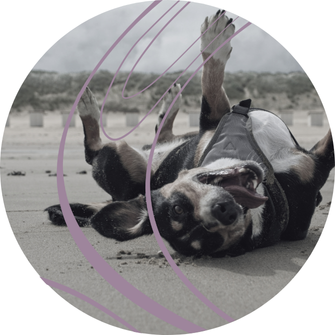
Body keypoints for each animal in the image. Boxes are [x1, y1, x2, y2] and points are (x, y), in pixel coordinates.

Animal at [46, 10, 334, 258]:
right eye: (178, 210)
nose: (224, 211)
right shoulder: (214, 117)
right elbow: (211, 81)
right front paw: (215, 39)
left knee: (160, 135)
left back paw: (168, 106)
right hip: (118, 157)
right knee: (92, 150)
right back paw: (88, 107)